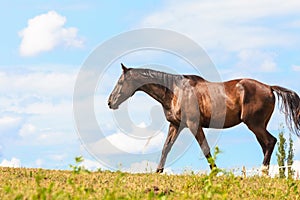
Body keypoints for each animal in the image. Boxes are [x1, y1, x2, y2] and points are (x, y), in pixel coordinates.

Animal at [108, 64, 300, 175]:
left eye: (120, 82)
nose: (110, 102)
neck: (175, 91)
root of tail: (269, 87)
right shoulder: (175, 125)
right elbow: (166, 148)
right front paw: (158, 172)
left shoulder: (194, 125)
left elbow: (205, 148)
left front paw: (215, 172)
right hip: (258, 126)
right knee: (266, 145)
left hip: (255, 125)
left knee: (270, 142)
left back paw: (263, 172)